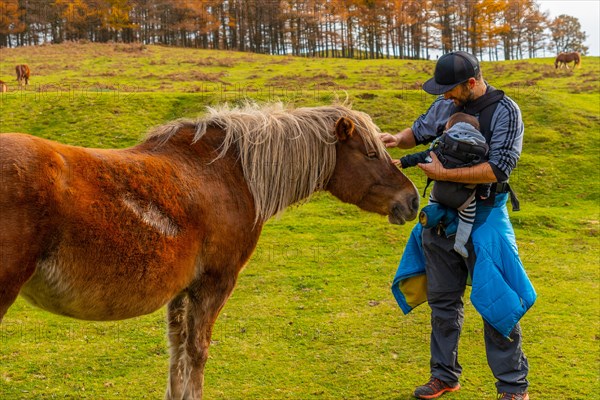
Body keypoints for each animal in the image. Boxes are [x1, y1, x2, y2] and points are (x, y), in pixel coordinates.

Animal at [0, 102, 420, 396]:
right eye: (370, 155)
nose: (412, 200)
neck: (229, 173)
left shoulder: (181, 290)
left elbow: (177, 350)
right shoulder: (215, 283)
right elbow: (197, 351)